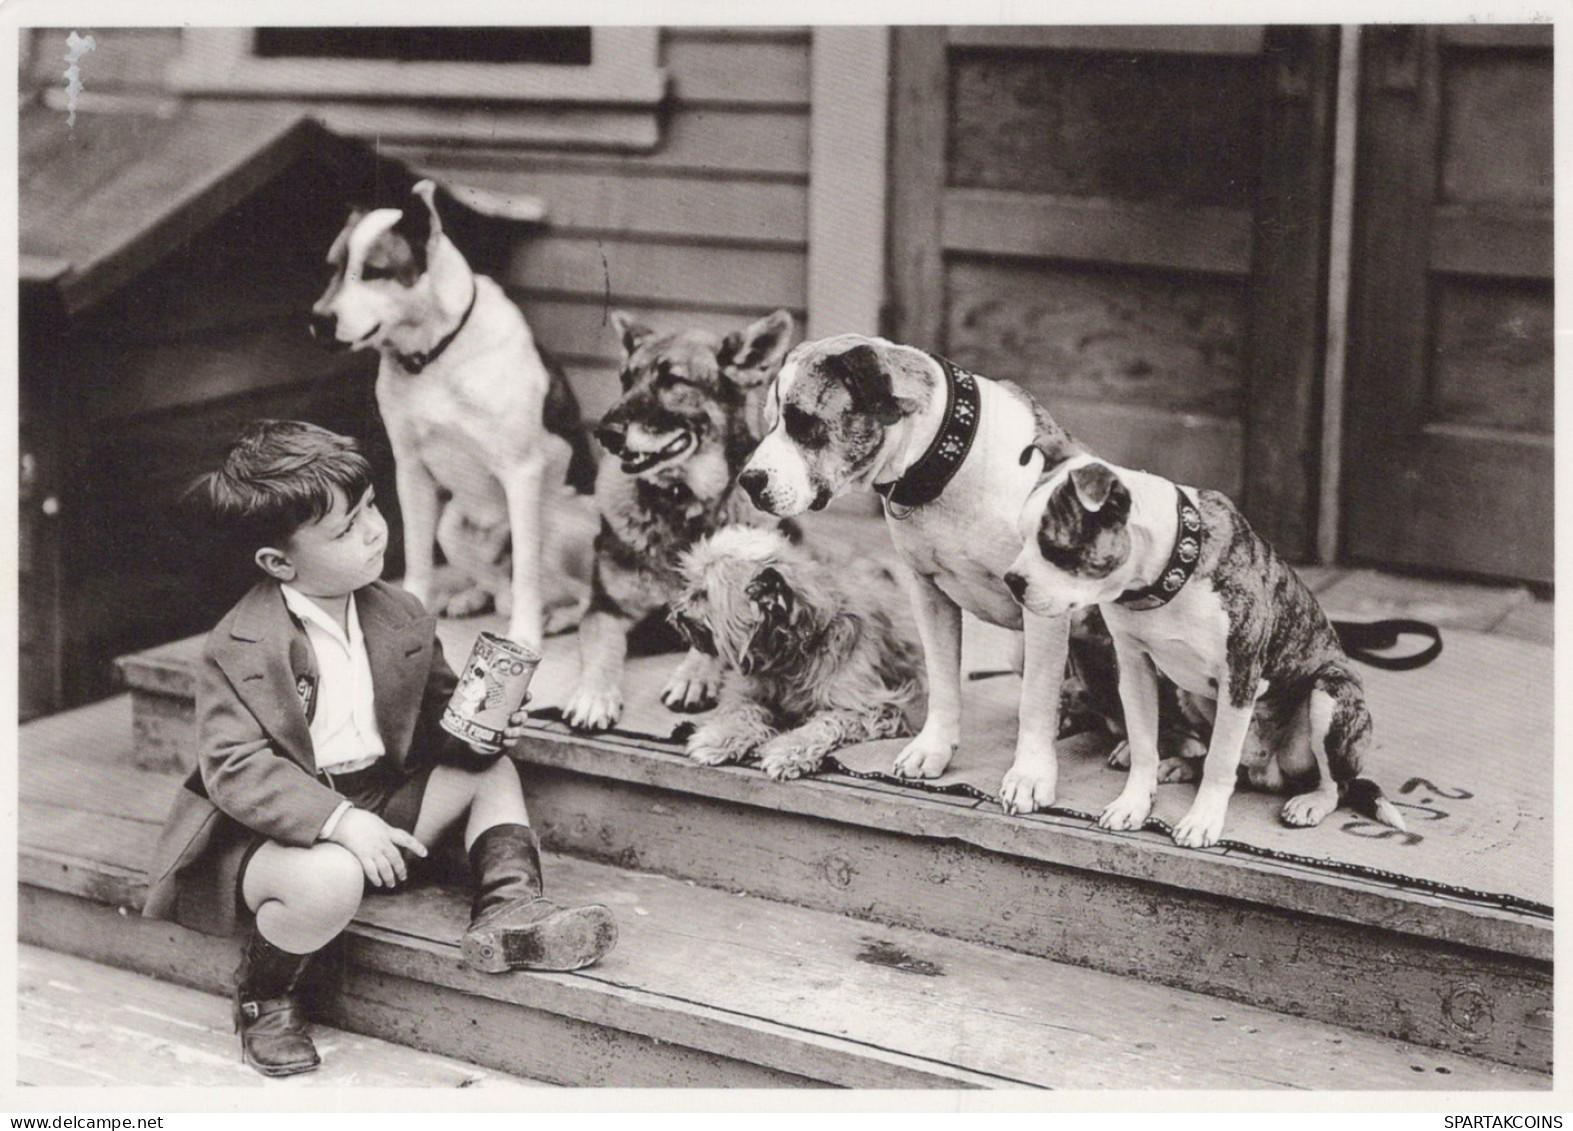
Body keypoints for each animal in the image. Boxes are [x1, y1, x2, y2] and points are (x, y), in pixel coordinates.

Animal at [313, 181, 594, 651]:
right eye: (333, 267)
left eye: (373, 271)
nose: (319, 320)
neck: (435, 352)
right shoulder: (411, 469)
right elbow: (418, 557)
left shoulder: (521, 474)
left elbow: (527, 577)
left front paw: (524, 634)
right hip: (453, 527)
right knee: (499, 579)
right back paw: (474, 597)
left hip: (557, 529)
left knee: (577, 592)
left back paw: (553, 617)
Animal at [733, 331, 1082, 811]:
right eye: (770, 422)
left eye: (804, 424)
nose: (748, 480)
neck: (947, 461)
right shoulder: (929, 595)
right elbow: (943, 679)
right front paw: (933, 749)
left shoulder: (1044, 611)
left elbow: (1035, 700)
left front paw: (1030, 774)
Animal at [1000, 456, 1409, 843]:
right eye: (1020, 539)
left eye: (1055, 548)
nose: (1012, 580)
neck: (1168, 573)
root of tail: (1266, 770)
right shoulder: (1135, 666)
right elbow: (1145, 742)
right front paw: (1134, 803)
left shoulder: (1239, 676)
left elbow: (1220, 762)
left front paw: (1201, 821)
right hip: (1186, 692)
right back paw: (1177, 765)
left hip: (1332, 693)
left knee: (1334, 784)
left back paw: (1310, 802)